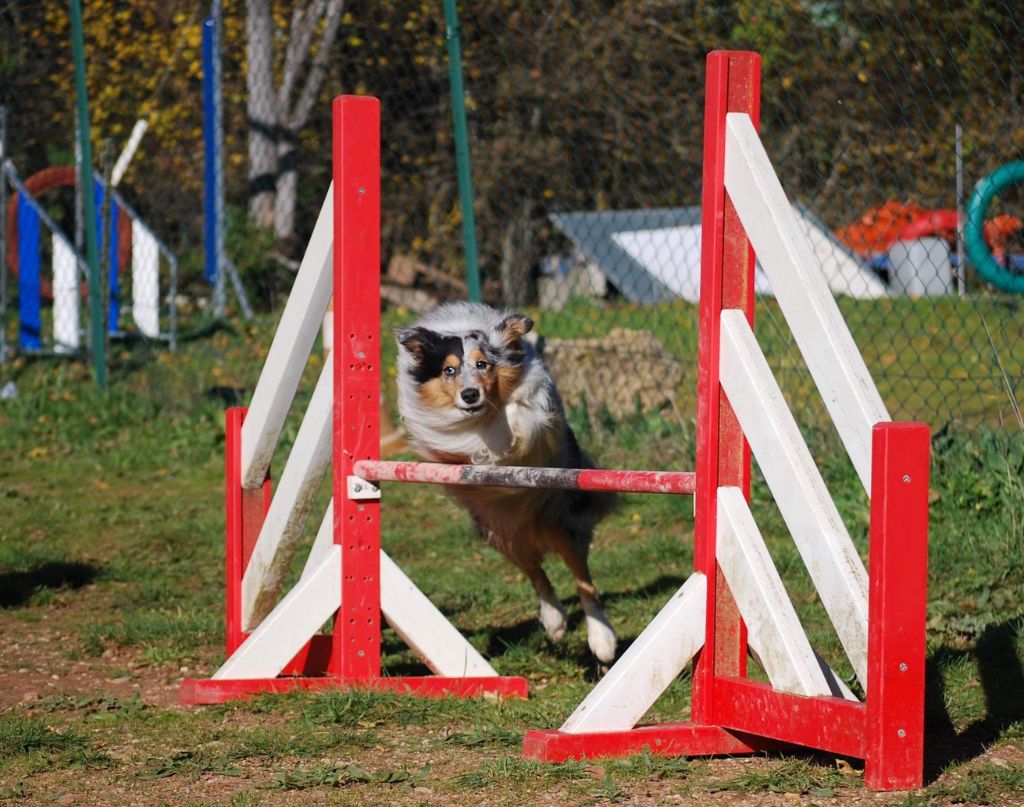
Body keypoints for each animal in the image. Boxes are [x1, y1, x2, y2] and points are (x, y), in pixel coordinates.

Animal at [393, 301, 614, 663]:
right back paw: (554, 621)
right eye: (449, 370)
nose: (470, 395)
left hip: (562, 521)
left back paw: (602, 640)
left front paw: (506, 431)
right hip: (500, 533)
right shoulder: (443, 448)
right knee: (536, 573)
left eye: (483, 364)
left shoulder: (538, 413)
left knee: (583, 579)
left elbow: (519, 413)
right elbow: (455, 441)